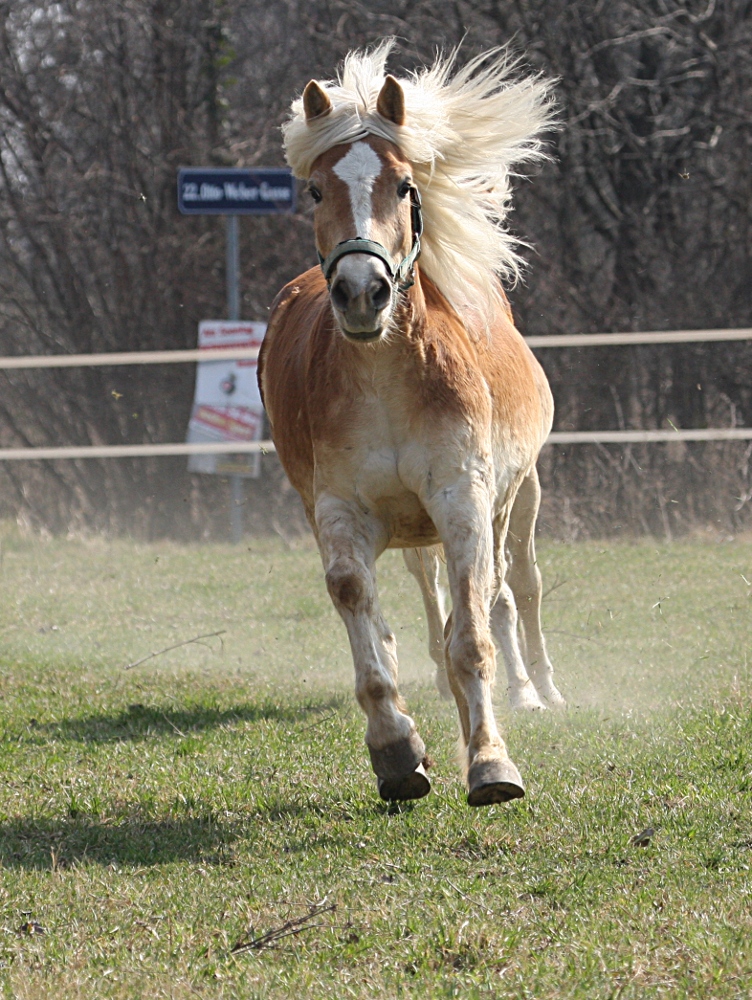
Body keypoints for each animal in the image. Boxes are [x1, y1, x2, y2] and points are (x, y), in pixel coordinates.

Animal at [258, 45, 564, 804]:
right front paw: (398, 748)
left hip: (518, 498)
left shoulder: (462, 499)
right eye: (315, 191)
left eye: (402, 186)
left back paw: (537, 690)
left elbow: (475, 635)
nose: (360, 292)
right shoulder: (340, 508)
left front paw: (490, 761)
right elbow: (361, 608)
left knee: (516, 587)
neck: (387, 377)